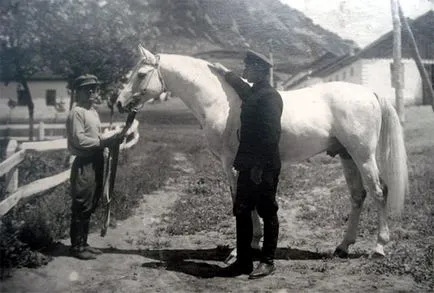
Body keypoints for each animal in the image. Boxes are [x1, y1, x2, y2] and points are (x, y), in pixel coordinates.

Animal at [115, 45, 406, 258]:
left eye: (140, 74)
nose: (118, 103)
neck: (221, 101)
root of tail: (369, 92)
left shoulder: (232, 164)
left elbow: (243, 201)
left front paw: (242, 249)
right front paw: (254, 243)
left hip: (363, 156)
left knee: (379, 192)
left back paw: (378, 248)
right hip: (347, 156)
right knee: (358, 196)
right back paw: (342, 247)